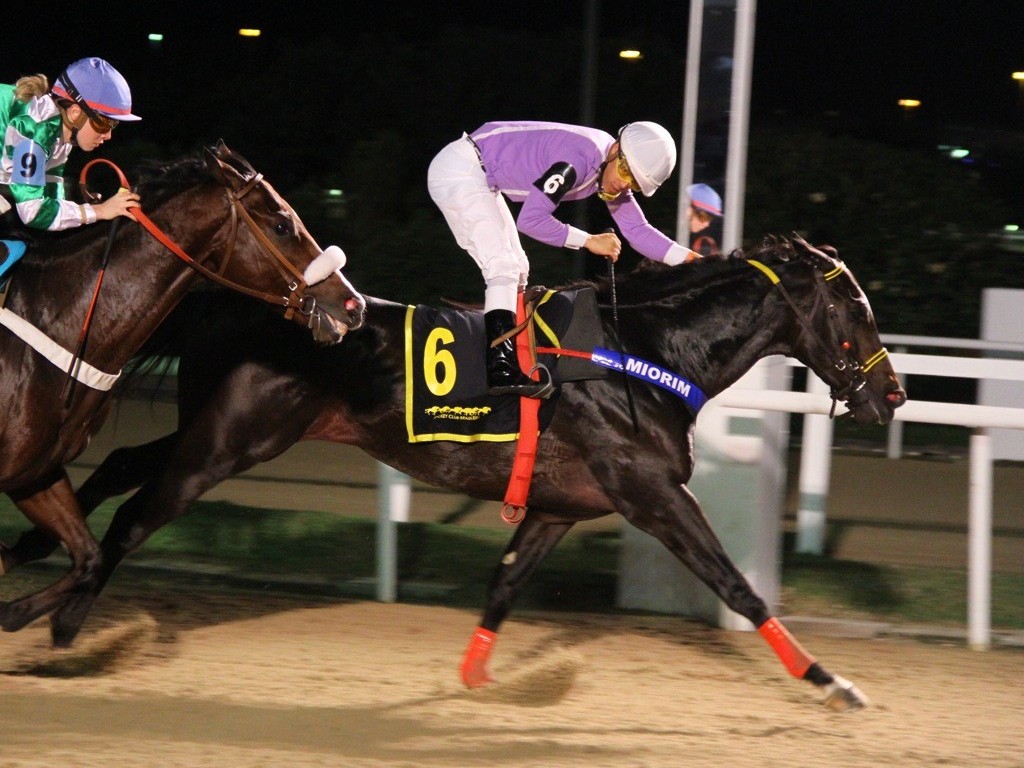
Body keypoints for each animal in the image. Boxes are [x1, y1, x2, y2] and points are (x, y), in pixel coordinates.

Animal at [0, 143, 364, 643]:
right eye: (282, 225)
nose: (354, 306)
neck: (62, 322)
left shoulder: (35, 472)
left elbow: (88, 558)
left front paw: (17, 610)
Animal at [8, 236, 905, 708]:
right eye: (856, 311)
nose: (893, 393)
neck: (646, 353)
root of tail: (238, 300)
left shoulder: (560, 505)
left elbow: (506, 583)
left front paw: (474, 680)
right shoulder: (648, 490)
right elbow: (736, 584)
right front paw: (833, 681)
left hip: (222, 432)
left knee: (119, 466)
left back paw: (32, 563)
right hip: (229, 442)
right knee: (133, 517)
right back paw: (63, 621)